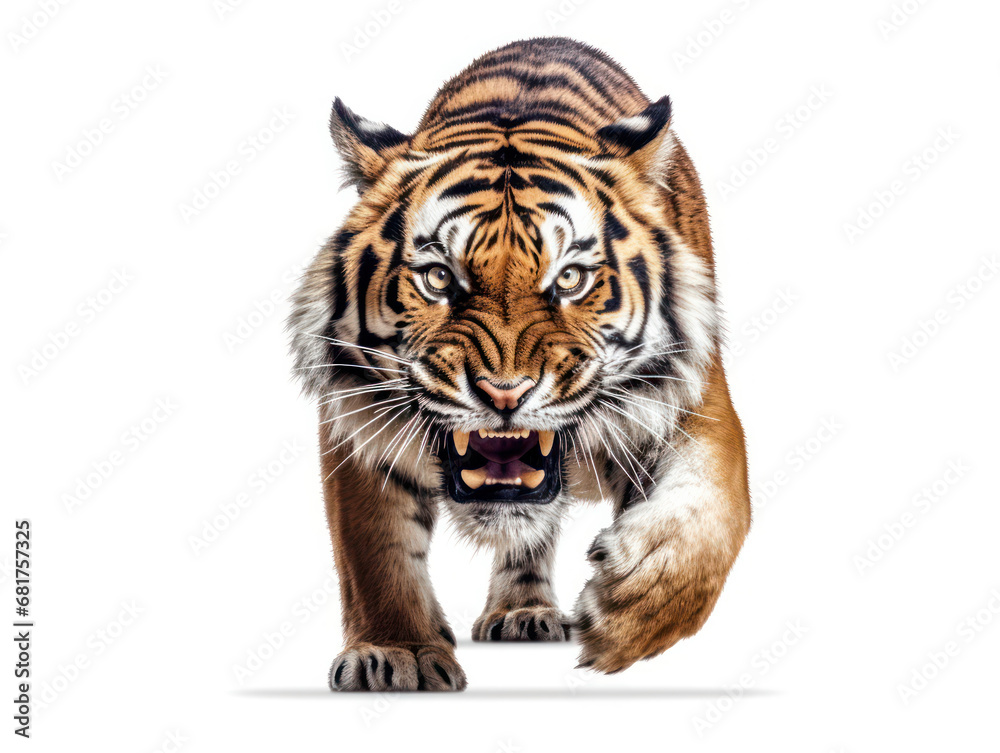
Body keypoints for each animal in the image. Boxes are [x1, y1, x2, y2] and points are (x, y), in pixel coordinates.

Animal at [289, 37, 750, 691]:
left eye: (571, 279)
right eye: (438, 278)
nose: (505, 393)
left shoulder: (696, 400)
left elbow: (712, 515)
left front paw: (628, 613)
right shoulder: (355, 416)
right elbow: (375, 549)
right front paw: (396, 652)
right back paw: (519, 612)